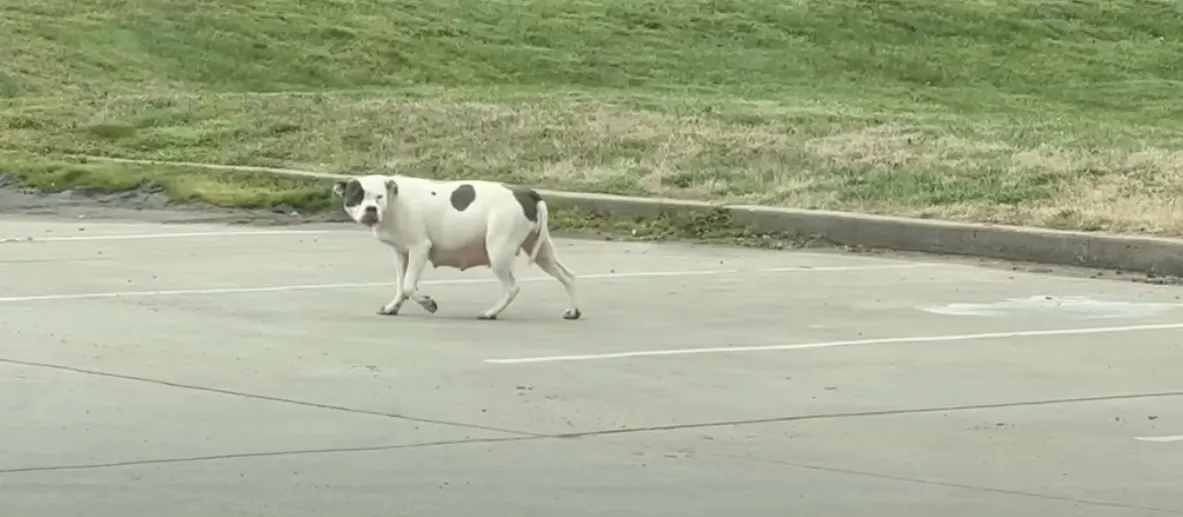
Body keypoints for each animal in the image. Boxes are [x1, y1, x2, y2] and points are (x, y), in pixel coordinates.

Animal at [333, 173, 582, 319]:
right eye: (357, 195)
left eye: (379, 197)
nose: (371, 209)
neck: (395, 200)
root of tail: (525, 193)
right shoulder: (401, 253)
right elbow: (401, 285)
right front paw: (393, 306)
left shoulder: (419, 249)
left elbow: (409, 286)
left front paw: (427, 303)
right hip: (541, 252)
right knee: (567, 276)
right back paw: (572, 310)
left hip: (498, 251)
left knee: (511, 287)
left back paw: (491, 312)